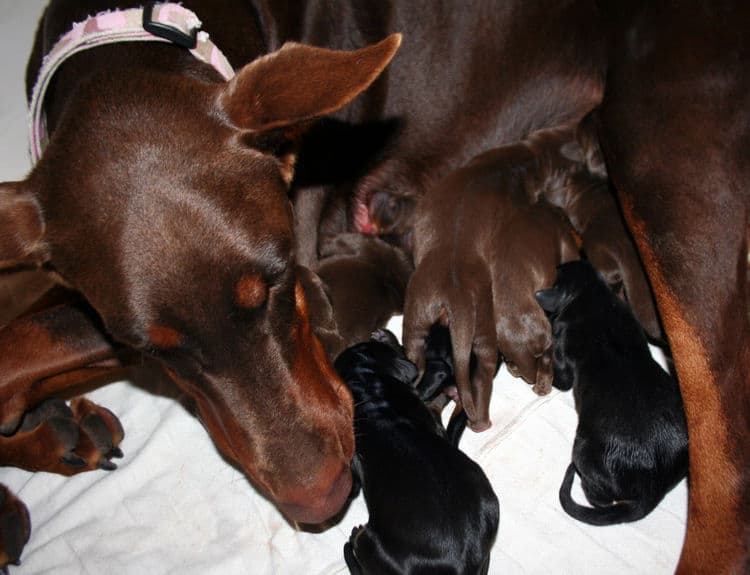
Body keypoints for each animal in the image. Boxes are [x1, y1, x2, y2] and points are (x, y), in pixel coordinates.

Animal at [536, 260, 692, 528]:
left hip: (583, 450)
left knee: (600, 500)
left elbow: (560, 374)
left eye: (556, 278)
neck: (592, 293)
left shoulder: (563, 354)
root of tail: (653, 489)